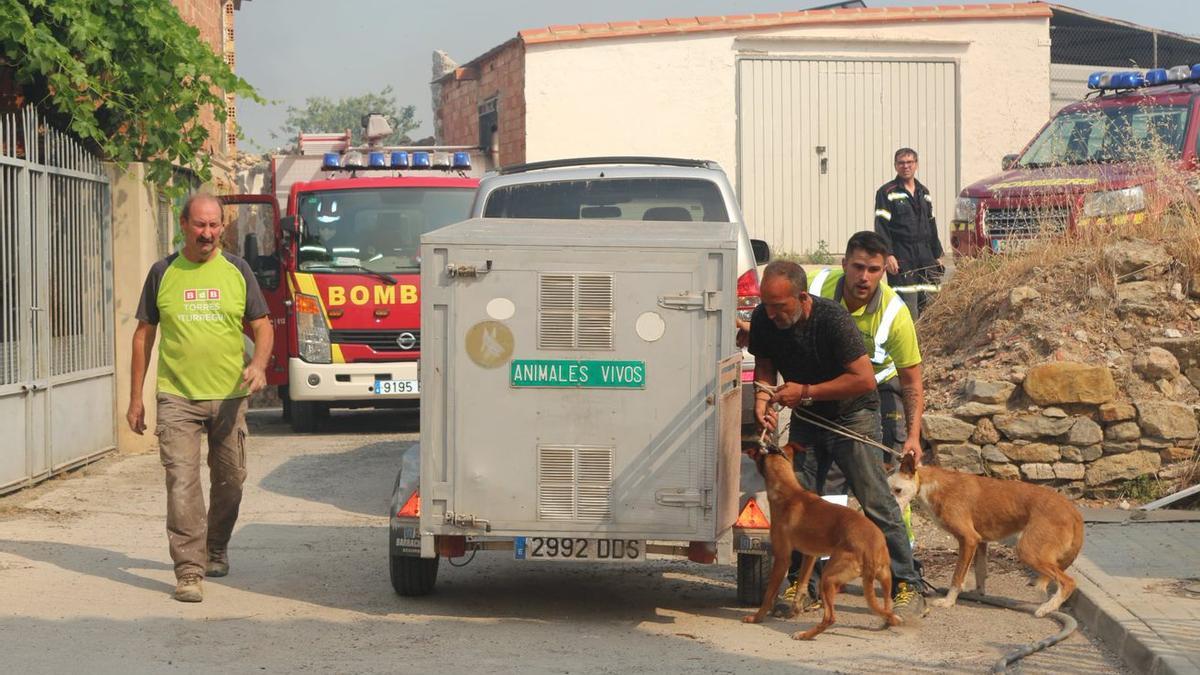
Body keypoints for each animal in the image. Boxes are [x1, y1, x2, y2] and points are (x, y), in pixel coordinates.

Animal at [739, 441, 902, 634]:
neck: (789, 491)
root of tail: (869, 547)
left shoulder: (782, 558)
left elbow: (768, 594)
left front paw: (757, 617)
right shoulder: (810, 555)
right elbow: (801, 585)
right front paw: (795, 609)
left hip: (829, 577)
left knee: (830, 617)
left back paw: (804, 635)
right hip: (885, 576)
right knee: (887, 606)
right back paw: (887, 621)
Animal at [883, 451, 1089, 614]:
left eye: (898, 490)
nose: (891, 512)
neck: (930, 484)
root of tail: (1074, 512)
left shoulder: (968, 539)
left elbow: (957, 576)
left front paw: (949, 601)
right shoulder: (980, 541)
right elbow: (980, 572)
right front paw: (978, 594)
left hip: (1028, 551)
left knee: (1068, 582)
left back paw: (1047, 608)